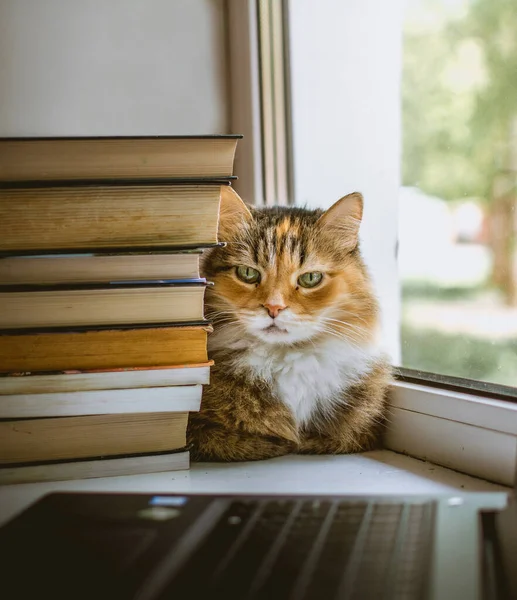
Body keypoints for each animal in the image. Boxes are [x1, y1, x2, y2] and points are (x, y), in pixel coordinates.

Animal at [186, 188, 392, 460]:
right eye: (248, 274)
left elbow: (335, 438)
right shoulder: (198, 433)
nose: (274, 308)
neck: (285, 359)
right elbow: (247, 443)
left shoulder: (361, 432)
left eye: (310, 278)